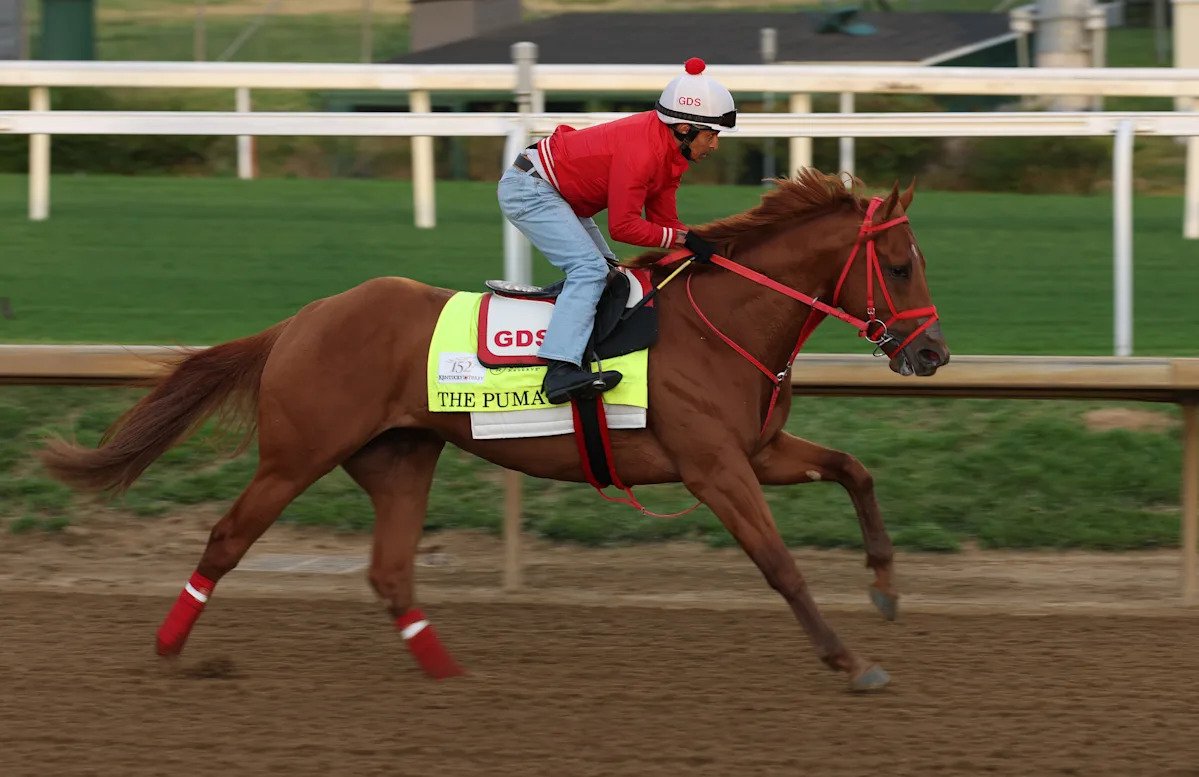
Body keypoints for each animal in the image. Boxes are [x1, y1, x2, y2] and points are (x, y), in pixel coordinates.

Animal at [39, 168, 949, 692]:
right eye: (899, 264)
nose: (932, 352)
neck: (719, 321)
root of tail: (301, 320)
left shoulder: (756, 450)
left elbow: (855, 468)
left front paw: (886, 587)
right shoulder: (713, 466)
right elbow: (779, 565)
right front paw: (850, 659)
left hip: (400, 456)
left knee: (390, 571)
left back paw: (453, 673)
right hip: (297, 454)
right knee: (227, 538)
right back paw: (169, 649)